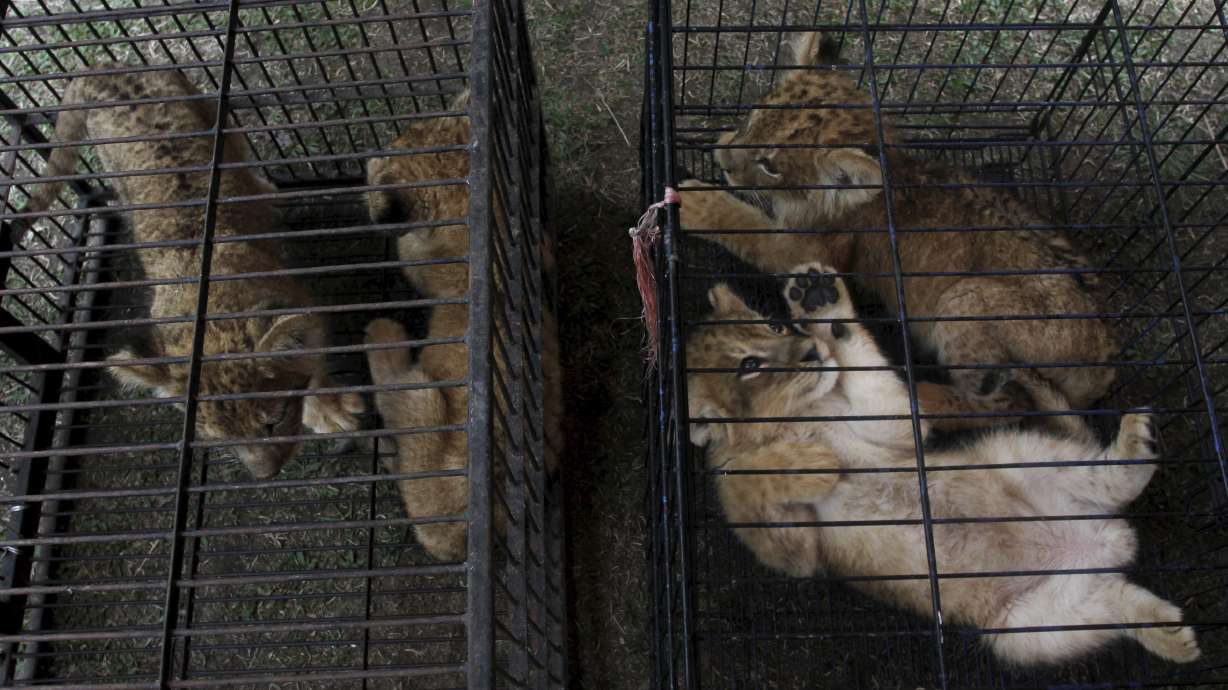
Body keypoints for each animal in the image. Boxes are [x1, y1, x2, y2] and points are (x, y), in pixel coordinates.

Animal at [21, 65, 363, 478]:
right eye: (217, 439)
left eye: (274, 420)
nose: (266, 474)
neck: (210, 316)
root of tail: (100, 69)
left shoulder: (304, 308)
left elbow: (311, 368)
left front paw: (328, 409)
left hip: (213, 113)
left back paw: (265, 190)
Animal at [680, 32, 1119, 433]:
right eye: (751, 119)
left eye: (770, 165)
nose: (722, 162)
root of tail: (1108, 360)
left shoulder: (807, 249)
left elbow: (745, 223)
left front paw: (693, 201)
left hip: (964, 300)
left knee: (1003, 408)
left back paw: (914, 395)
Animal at [685, 260, 1199, 666]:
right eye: (750, 365)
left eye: (774, 328)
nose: (811, 351)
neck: (796, 419)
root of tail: (1098, 541)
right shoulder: (797, 553)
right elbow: (747, 483)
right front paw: (813, 463)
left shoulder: (895, 425)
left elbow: (872, 382)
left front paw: (820, 301)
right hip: (1028, 629)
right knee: (1116, 601)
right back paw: (1171, 633)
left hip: (1016, 457)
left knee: (1109, 481)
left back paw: (1138, 440)